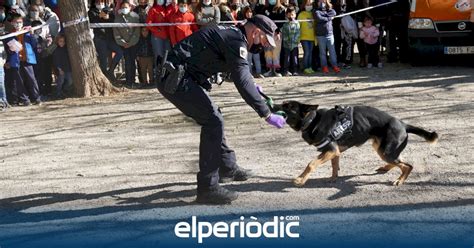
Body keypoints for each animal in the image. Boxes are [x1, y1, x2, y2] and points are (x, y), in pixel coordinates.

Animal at [272, 101, 438, 186]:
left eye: (287, 106)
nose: (272, 105)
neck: (312, 120)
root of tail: (403, 124)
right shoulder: (334, 151)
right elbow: (334, 166)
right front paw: (333, 178)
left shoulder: (330, 150)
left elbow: (311, 164)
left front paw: (300, 179)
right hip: (382, 148)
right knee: (400, 161)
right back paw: (386, 168)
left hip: (385, 150)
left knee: (407, 166)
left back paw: (399, 180)